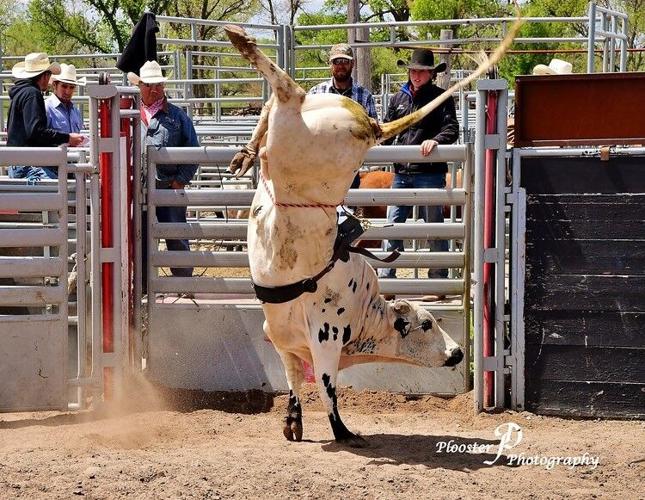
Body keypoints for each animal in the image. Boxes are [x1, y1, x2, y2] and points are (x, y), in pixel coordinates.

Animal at [223, 21, 520, 446]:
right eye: (426, 324)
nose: (458, 354)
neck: (365, 312)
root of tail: (373, 125)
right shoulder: (325, 342)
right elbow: (327, 388)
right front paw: (343, 431)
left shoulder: (285, 342)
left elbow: (295, 381)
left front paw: (293, 422)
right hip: (314, 135)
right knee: (286, 88)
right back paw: (241, 42)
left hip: (300, 123)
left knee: (279, 100)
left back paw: (245, 148)